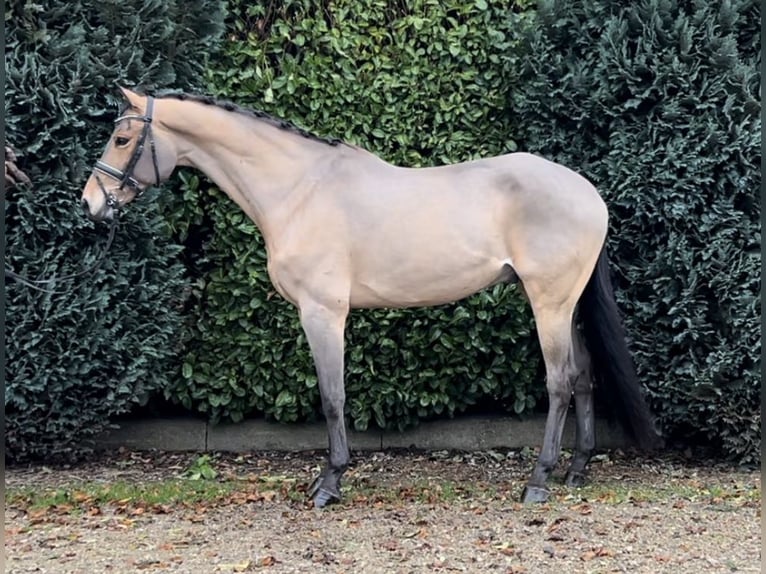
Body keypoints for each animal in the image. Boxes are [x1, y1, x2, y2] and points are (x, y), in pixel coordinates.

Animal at [81, 86, 664, 508]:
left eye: (120, 139)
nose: (90, 203)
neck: (300, 189)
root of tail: (587, 191)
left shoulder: (322, 313)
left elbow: (332, 396)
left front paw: (329, 483)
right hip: (565, 305)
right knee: (584, 377)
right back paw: (576, 471)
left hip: (549, 304)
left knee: (560, 382)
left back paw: (539, 481)